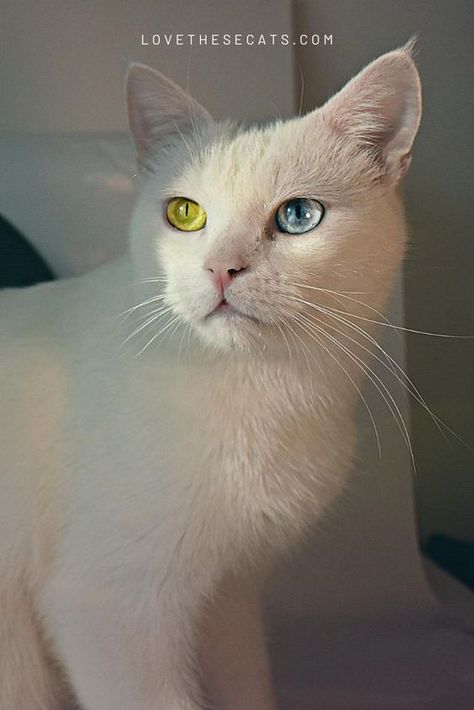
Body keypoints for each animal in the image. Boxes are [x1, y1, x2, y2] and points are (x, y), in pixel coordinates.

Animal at [0, 46, 422, 710]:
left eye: (298, 215)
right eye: (184, 213)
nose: (223, 268)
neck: (260, 393)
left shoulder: (230, 599)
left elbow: (248, 685)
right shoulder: (111, 608)